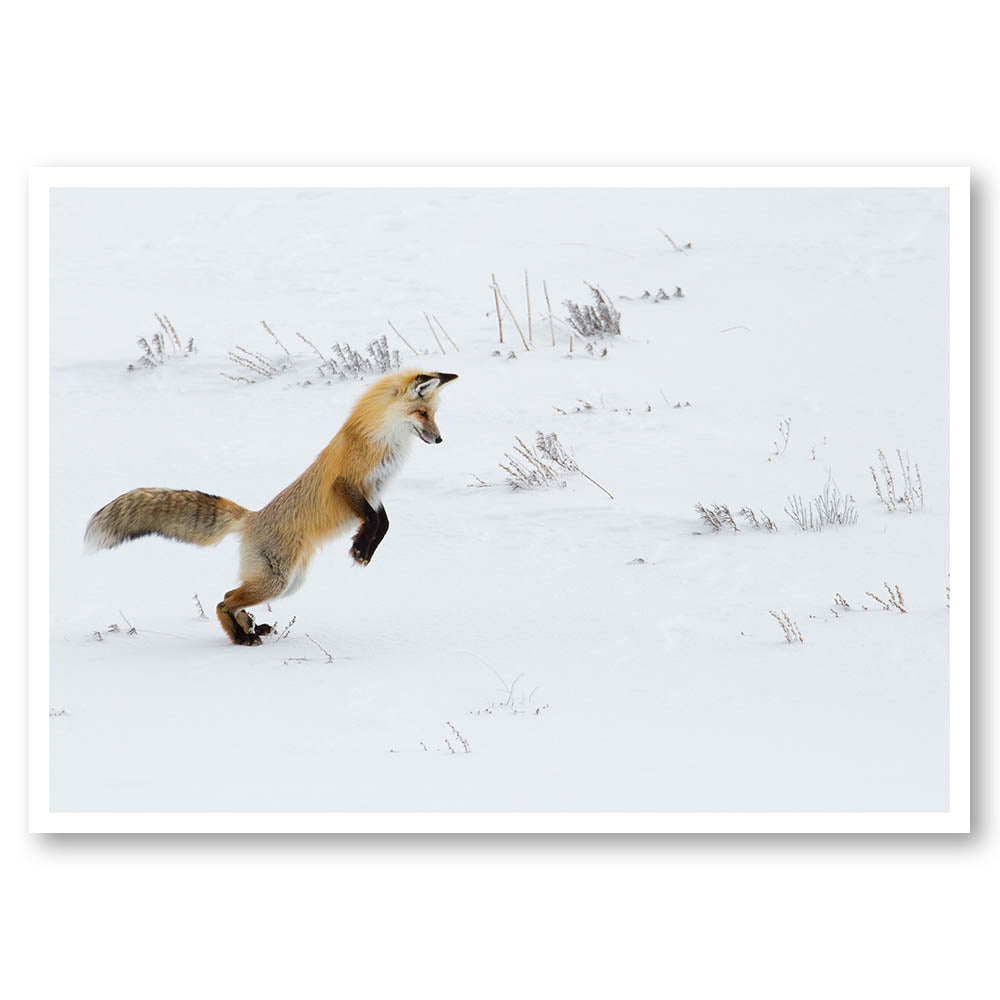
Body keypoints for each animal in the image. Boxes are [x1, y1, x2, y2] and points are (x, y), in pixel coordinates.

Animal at [85, 369, 458, 646]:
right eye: (422, 413)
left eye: (434, 414)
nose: (440, 439)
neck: (383, 440)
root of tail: (252, 517)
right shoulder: (348, 484)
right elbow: (373, 520)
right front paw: (360, 549)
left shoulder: (375, 492)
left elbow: (384, 523)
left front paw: (364, 548)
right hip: (277, 581)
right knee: (223, 600)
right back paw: (241, 636)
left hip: (289, 582)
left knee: (229, 594)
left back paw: (250, 627)